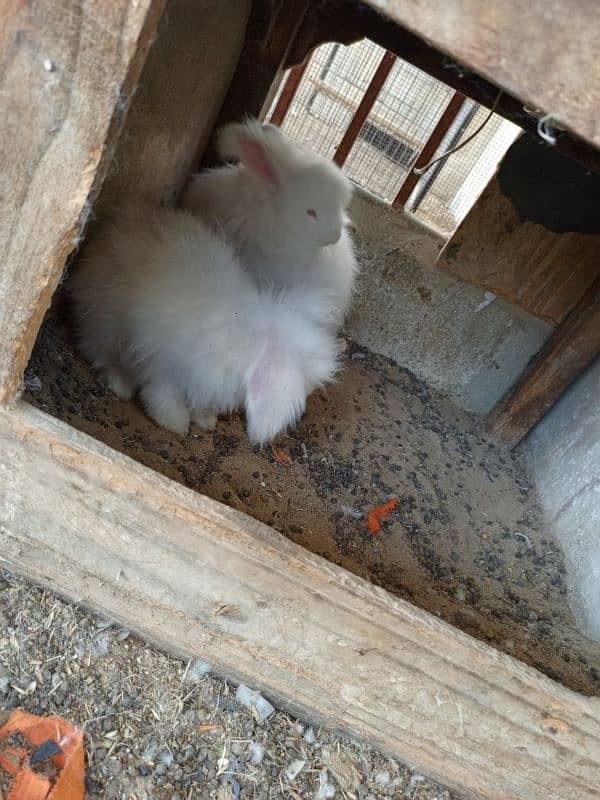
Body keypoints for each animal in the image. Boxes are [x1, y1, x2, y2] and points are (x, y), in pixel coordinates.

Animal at [68, 206, 340, 444]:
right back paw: (120, 385)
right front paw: (177, 425)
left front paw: (206, 422)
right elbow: (162, 399)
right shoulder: (166, 372)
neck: (245, 341)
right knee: (98, 351)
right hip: (106, 324)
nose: (310, 394)